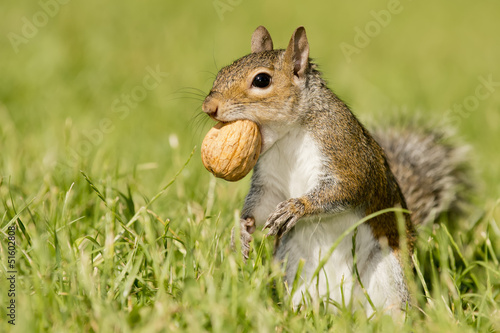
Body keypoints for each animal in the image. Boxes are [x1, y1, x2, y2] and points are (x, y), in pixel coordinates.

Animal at [200, 26, 468, 314]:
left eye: (261, 80)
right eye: (221, 72)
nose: (209, 108)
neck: (288, 134)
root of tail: (346, 306)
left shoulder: (345, 150)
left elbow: (347, 187)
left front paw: (297, 207)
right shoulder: (269, 181)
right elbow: (261, 205)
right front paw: (240, 230)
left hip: (390, 269)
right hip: (294, 266)